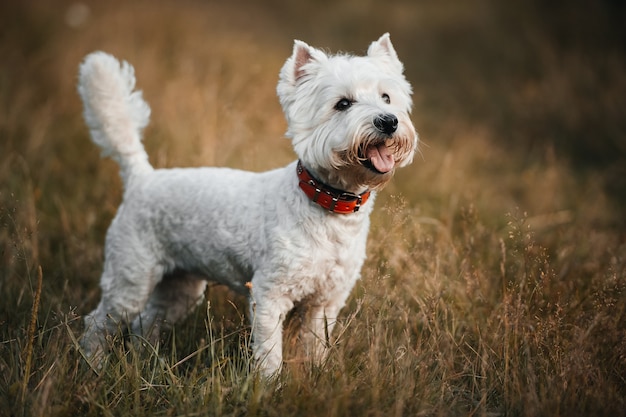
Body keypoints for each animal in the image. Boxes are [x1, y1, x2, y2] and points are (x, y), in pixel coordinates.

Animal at [79, 34, 420, 376]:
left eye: (387, 98)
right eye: (343, 103)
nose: (388, 121)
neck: (327, 203)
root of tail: (141, 177)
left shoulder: (325, 301)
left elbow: (315, 347)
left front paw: (315, 375)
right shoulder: (269, 294)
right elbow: (269, 355)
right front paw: (268, 384)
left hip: (180, 287)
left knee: (145, 322)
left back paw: (144, 362)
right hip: (130, 277)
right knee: (97, 323)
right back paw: (94, 368)